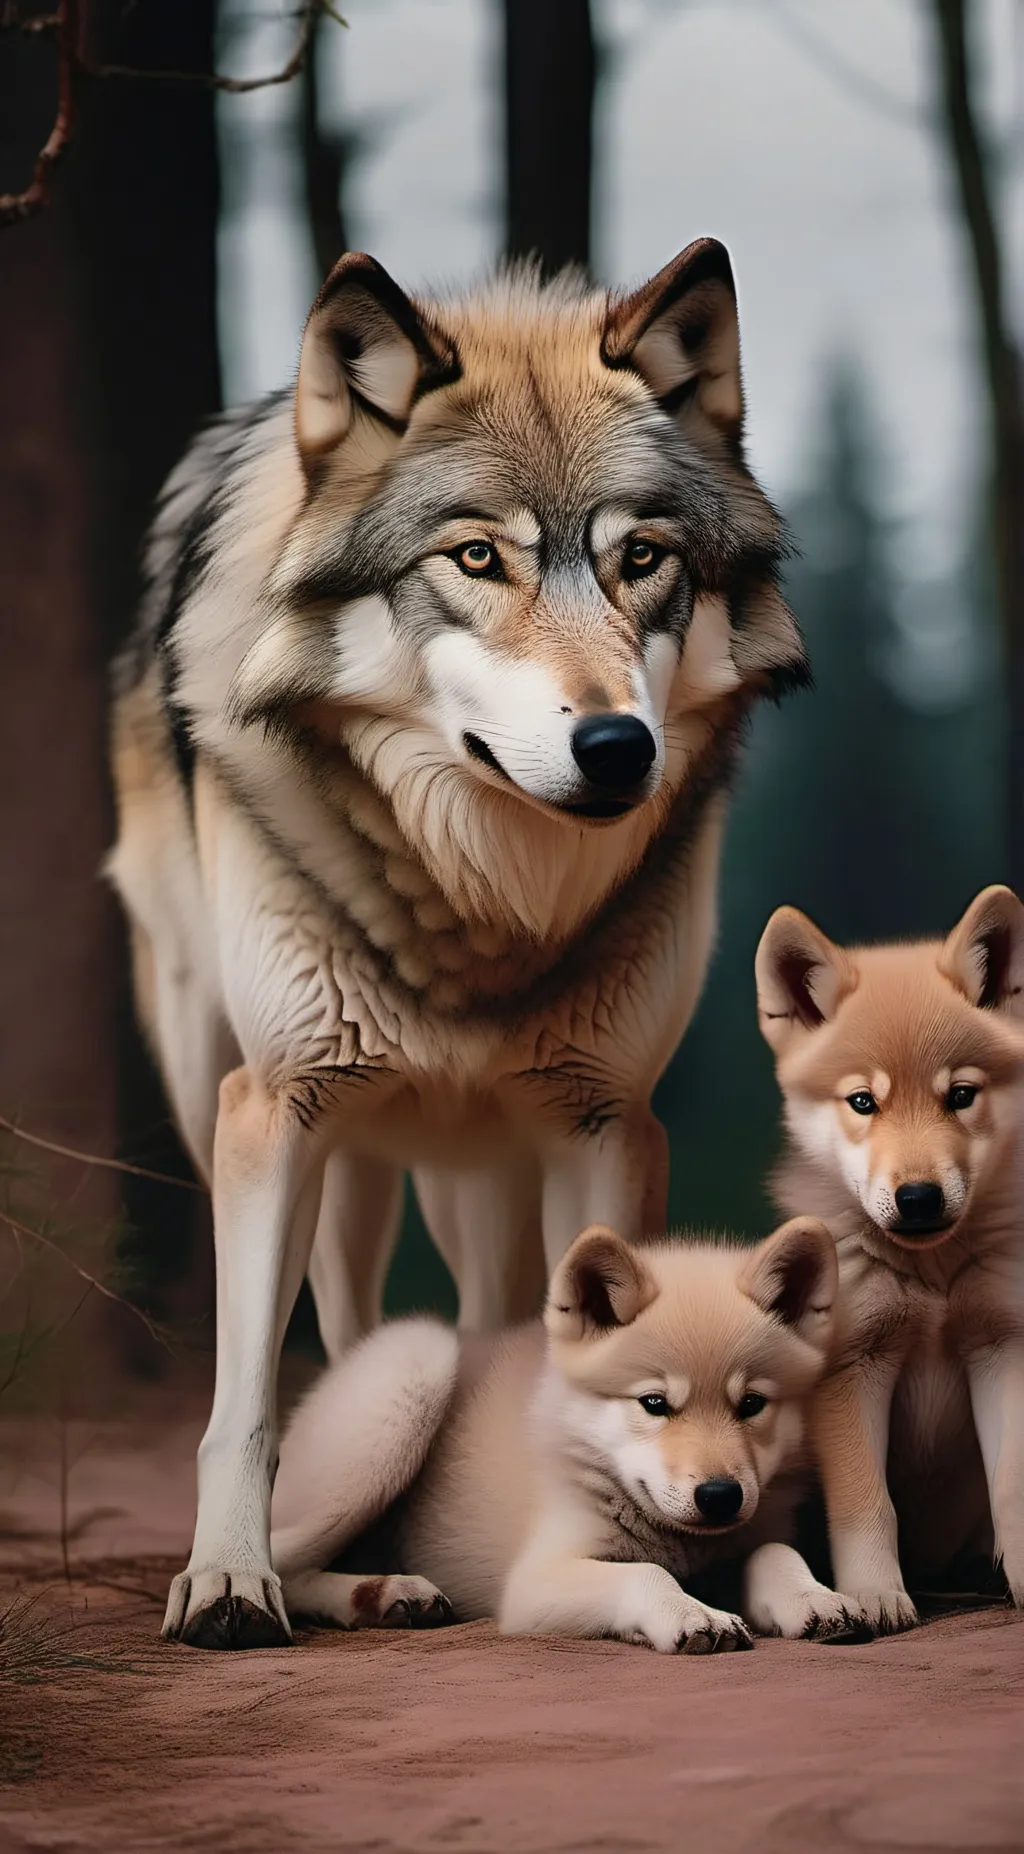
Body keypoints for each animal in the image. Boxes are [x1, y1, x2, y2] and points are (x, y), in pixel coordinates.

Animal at [107, 238, 806, 1648]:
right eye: (477, 557)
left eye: (642, 558)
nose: (617, 747)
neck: (482, 903)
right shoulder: (283, 1103)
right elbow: (245, 1402)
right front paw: (228, 1581)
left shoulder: (602, 1121)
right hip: (258, 1111)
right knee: (339, 1337)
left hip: (477, 1168)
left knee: (485, 1311)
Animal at [270, 1217, 868, 1651]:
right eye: (654, 1404)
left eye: (751, 1405)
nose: (720, 1496)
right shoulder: (536, 1581)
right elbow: (644, 1574)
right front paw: (689, 1612)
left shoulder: (745, 1541)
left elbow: (775, 1552)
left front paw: (814, 1597)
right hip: (412, 1372)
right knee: (280, 1566)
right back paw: (376, 1592)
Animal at [756, 885, 1024, 1631]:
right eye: (862, 1102)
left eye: (960, 1096)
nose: (919, 1197)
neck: (929, 1280)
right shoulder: (854, 1369)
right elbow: (867, 1503)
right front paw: (875, 1594)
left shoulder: (1001, 1348)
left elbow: (1013, 1489)